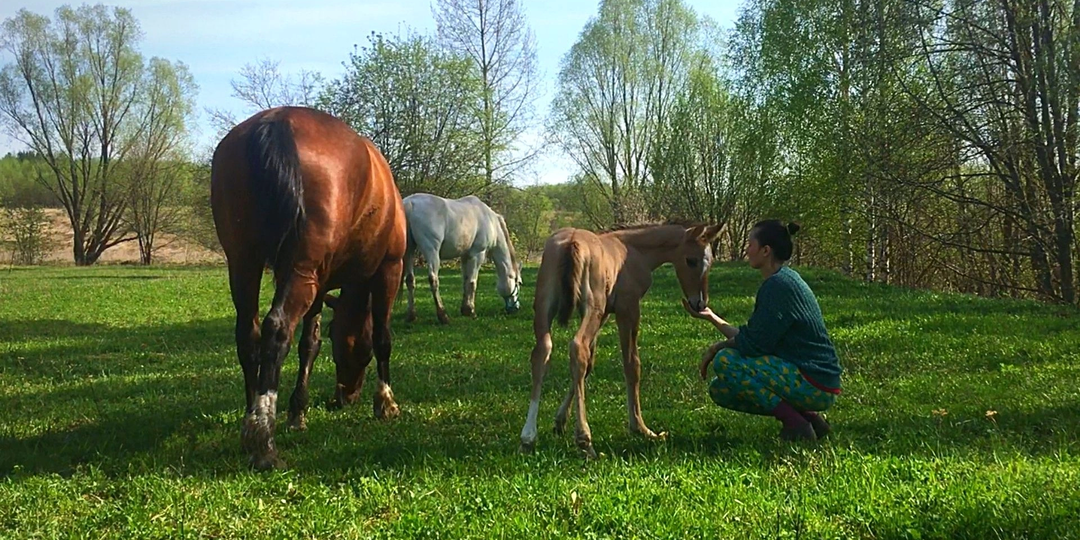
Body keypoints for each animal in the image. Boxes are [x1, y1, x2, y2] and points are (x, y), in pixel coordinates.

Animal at [208, 105, 406, 468]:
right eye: (357, 348)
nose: (344, 396)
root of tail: (275, 121)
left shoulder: (321, 281)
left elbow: (309, 345)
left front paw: (298, 411)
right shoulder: (389, 268)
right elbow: (383, 338)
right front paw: (385, 402)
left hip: (244, 264)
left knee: (248, 336)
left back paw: (250, 418)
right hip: (300, 270)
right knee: (276, 329)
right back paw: (263, 439)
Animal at [403, 193, 524, 324]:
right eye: (519, 283)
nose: (516, 308)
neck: (491, 221)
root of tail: (410, 204)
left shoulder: (465, 256)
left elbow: (465, 280)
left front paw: (465, 309)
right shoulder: (477, 254)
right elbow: (472, 282)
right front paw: (471, 311)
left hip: (408, 252)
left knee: (410, 280)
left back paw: (411, 316)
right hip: (431, 251)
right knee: (433, 279)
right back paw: (443, 316)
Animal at [518, 221, 721, 457]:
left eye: (710, 262)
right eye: (691, 260)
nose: (700, 303)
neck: (634, 250)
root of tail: (572, 242)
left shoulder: (606, 312)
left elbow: (589, 364)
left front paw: (560, 421)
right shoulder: (628, 307)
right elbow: (632, 364)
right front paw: (641, 428)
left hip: (546, 307)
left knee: (544, 352)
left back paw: (528, 438)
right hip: (592, 308)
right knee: (577, 347)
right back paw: (585, 440)